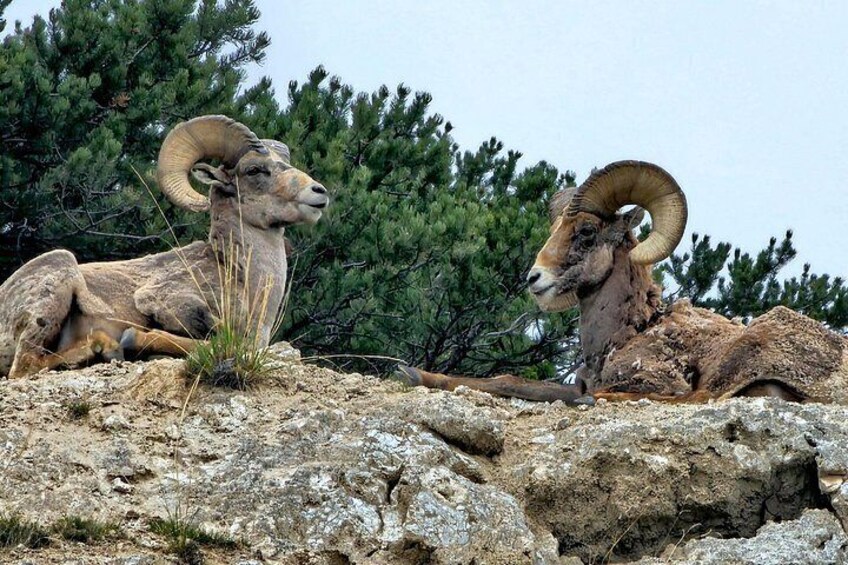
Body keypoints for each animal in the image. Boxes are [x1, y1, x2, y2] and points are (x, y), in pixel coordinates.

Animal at [0, 115, 329, 379]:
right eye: (254, 170)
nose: (319, 192)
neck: (243, 276)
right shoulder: (160, 299)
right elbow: (219, 338)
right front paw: (135, 341)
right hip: (58, 276)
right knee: (25, 367)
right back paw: (104, 348)